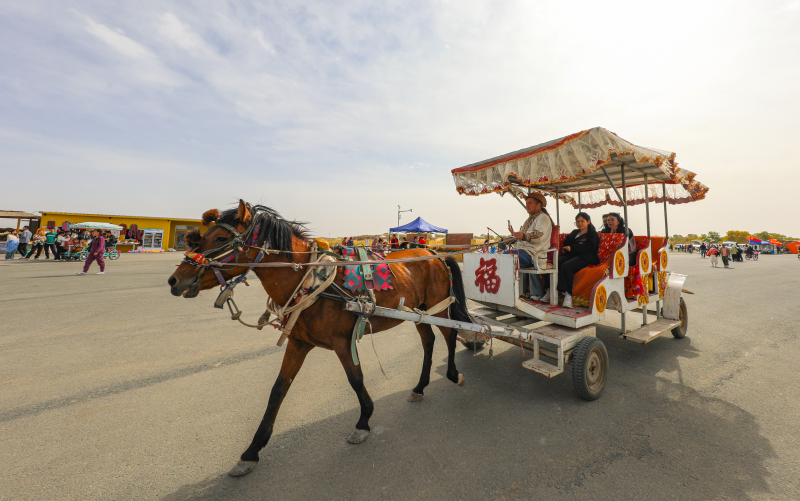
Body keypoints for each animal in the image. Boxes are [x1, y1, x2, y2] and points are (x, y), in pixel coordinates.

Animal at [166, 199, 472, 476]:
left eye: (220, 238)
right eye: (202, 236)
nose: (175, 280)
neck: (311, 280)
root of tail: (434, 252)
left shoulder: (342, 342)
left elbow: (355, 379)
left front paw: (363, 422)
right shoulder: (298, 343)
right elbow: (278, 389)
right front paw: (251, 451)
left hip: (440, 308)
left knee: (450, 335)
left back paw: (453, 374)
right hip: (421, 312)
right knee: (428, 341)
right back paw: (419, 387)